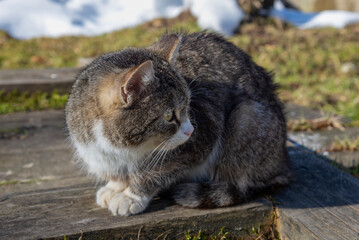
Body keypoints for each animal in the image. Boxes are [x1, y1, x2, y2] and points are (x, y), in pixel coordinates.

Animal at [66, 31, 292, 216]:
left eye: (189, 107)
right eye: (168, 116)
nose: (190, 130)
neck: (123, 150)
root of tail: (282, 164)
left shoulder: (199, 144)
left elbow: (154, 174)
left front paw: (132, 195)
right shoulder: (98, 155)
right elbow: (117, 175)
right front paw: (115, 187)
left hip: (245, 118)